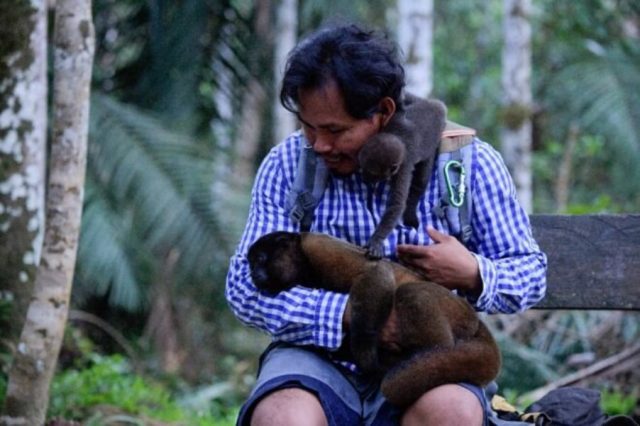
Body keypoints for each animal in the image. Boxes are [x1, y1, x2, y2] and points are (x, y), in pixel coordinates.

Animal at [245, 231, 500, 408]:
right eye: (251, 264)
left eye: (260, 259)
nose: (253, 274)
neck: (303, 266)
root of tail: (476, 321)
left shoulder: (318, 247)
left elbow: (374, 272)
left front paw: (366, 356)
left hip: (456, 312)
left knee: (412, 293)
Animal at [358, 93, 448, 260]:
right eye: (363, 169)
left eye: (373, 174)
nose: (365, 179)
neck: (397, 137)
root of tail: (439, 107)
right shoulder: (393, 121)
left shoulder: (404, 167)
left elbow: (397, 203)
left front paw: (376, 240)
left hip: (433, 144)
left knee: (421, 180)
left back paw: (410, 214)